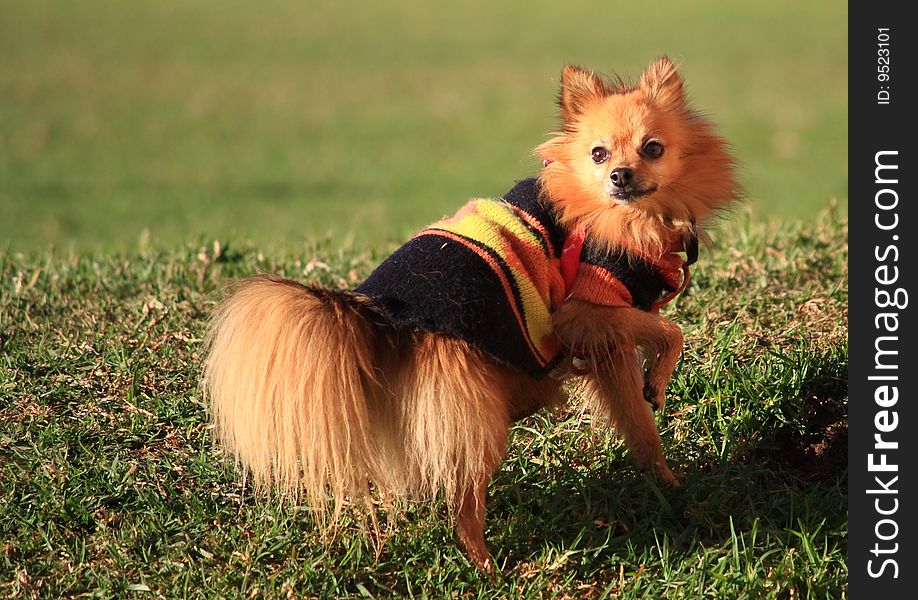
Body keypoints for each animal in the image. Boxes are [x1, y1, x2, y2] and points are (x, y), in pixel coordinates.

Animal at [205, 58, 744, 576]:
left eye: (652, 148)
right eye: (599, 154)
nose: (620, 175)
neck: (630, 216)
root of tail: (379, 320)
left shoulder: (605, 340)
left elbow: (639, 425)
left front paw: (666, 481)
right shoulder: (588, 308)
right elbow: (669, 331)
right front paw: (661, 379)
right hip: (477, 418)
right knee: (462, 505)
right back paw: (492, 569)